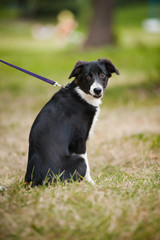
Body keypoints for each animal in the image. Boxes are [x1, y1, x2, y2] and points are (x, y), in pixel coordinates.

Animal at [24, 58, 119, 186]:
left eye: (102, 75)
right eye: (87, 77)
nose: (97, 90)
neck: (81, 95)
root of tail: (37, 181)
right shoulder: (79, 140)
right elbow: (87, 166)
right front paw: (91, 184)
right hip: (78, 161)